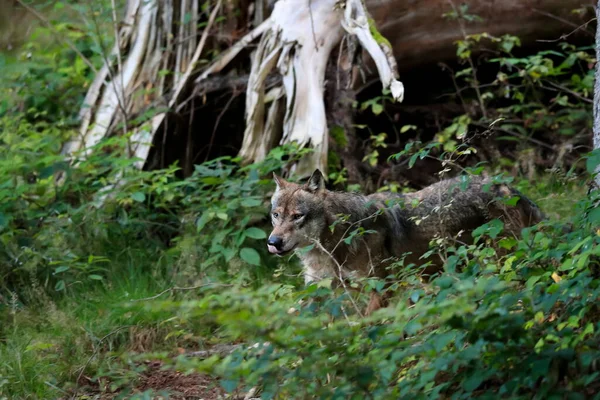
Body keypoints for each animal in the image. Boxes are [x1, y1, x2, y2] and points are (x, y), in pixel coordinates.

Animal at [268, 169, 544, 312]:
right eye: (276, 215)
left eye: (298, 216)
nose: (273, 242)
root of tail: (503, 184)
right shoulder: (318, 288)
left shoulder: (382, 286)